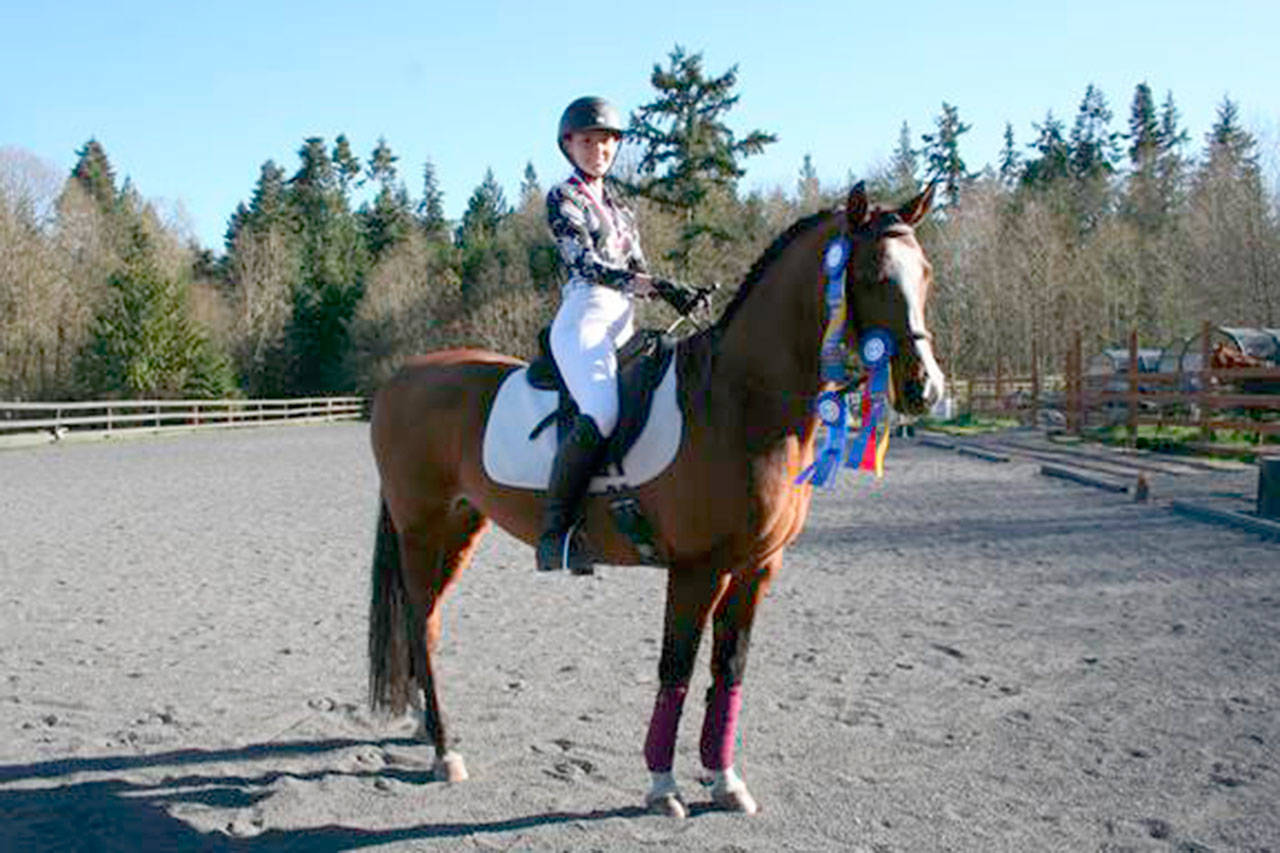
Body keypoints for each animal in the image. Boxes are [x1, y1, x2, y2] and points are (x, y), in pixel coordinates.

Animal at [367, 181, 945, 818]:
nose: (925, 388)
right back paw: (445, 750)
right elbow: (677, 667)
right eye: (871, 275)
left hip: (460, 526)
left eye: (925, 274)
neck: (739, 403)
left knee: (427, 621)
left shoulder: (757, 569)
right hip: (420, 528)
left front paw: (724, 779)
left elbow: (729, 669)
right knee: (420, 621)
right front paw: (663, 785)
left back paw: (424, 724)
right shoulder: (698, 570)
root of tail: (400, 379)